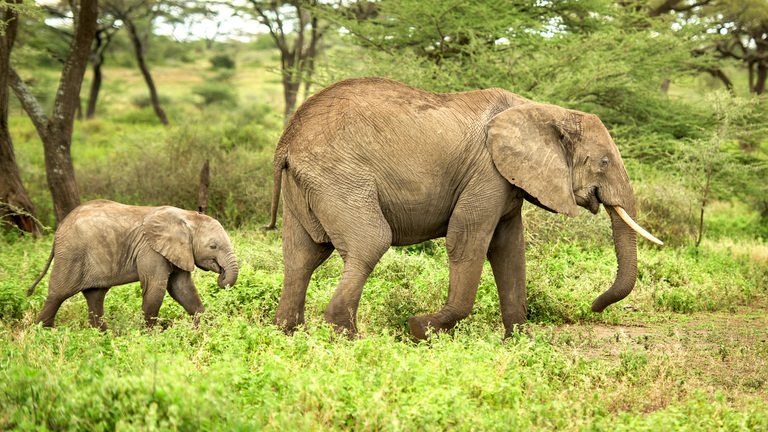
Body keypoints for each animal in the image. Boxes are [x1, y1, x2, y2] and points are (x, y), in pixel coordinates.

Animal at [27, 200, 239, 329]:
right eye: (213, 246)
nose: (221, 277)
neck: (186, 217)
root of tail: (59, 229)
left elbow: (183, 289)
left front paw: (206, 329)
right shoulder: (150, 249)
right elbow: (155, 289)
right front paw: (152, 338)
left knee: (95, 297)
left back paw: (104, 337)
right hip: (71, 254)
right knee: (58, 295)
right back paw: (41, 333)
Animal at [266, 77, 662, 340]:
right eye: (605, 162)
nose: (594, 306)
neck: (542, 109)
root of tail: (287, 140)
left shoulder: (508, 181)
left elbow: (509, 250)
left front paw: (521, 342)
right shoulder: (487, 173)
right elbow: (467, 240)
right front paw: (420, 329)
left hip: (308, 185)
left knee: (302, 255)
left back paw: (288, 333)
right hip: (338, 177)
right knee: (370, 242)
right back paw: (345, 336)